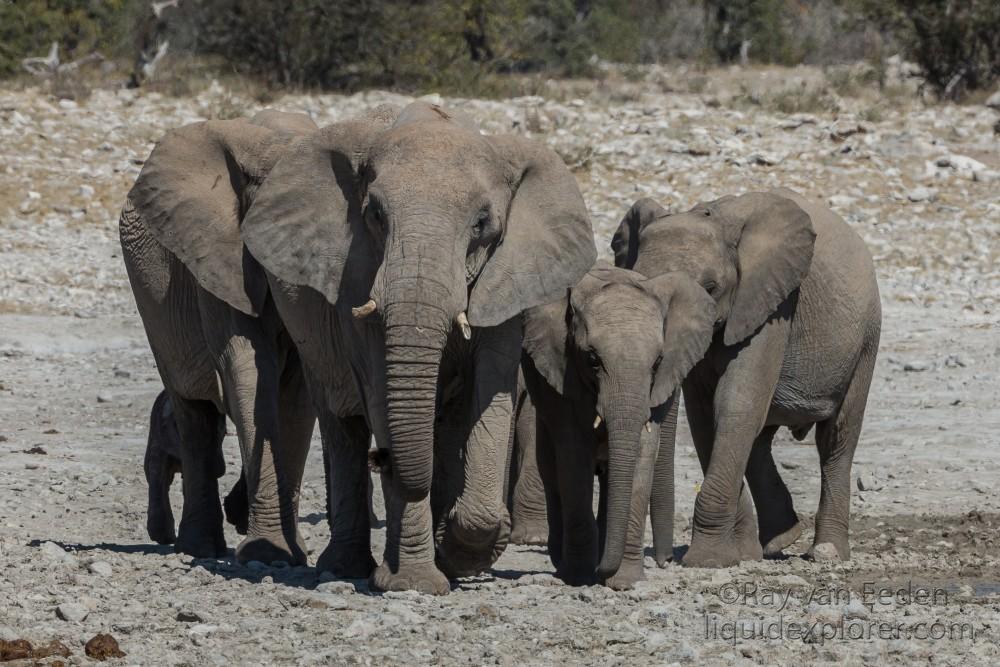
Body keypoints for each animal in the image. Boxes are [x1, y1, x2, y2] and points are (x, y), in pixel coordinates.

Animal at [120, 109, 318, 564]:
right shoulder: (216, 260)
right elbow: (247, 368)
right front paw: (272, 554)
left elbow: (297, 392)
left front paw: (286, 550)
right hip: (154, 307)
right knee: (193, 414)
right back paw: (199, 546)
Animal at [236, 100, 592, 596]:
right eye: (374, 215)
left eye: (482, 224)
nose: (382, 460)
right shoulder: (356, 277)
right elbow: (380, 393)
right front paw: (415, 582)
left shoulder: (508, 272)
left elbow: (492, 389)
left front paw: (461, 554)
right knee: (342, 421)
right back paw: (347, 567)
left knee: (443, 425)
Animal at [520, 260, 716, 588]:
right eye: (592, 360)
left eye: (657, 362)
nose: (666, 561)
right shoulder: (563, 374)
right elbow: (573, 456)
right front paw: (580, 576)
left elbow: (642, 452)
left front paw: (624, 581)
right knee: (551, 469)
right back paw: (563, 564)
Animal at [612, 188, 880, 568]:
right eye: (640, 284)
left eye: (711, 288)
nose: (663, 561)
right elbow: (706, 418)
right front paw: (735, 555)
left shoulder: (773, 301)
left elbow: (735, 403)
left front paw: (706, 560)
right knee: (758, 439)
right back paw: (777, 541)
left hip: (866, 339)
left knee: (836, 438)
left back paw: (825, 552)